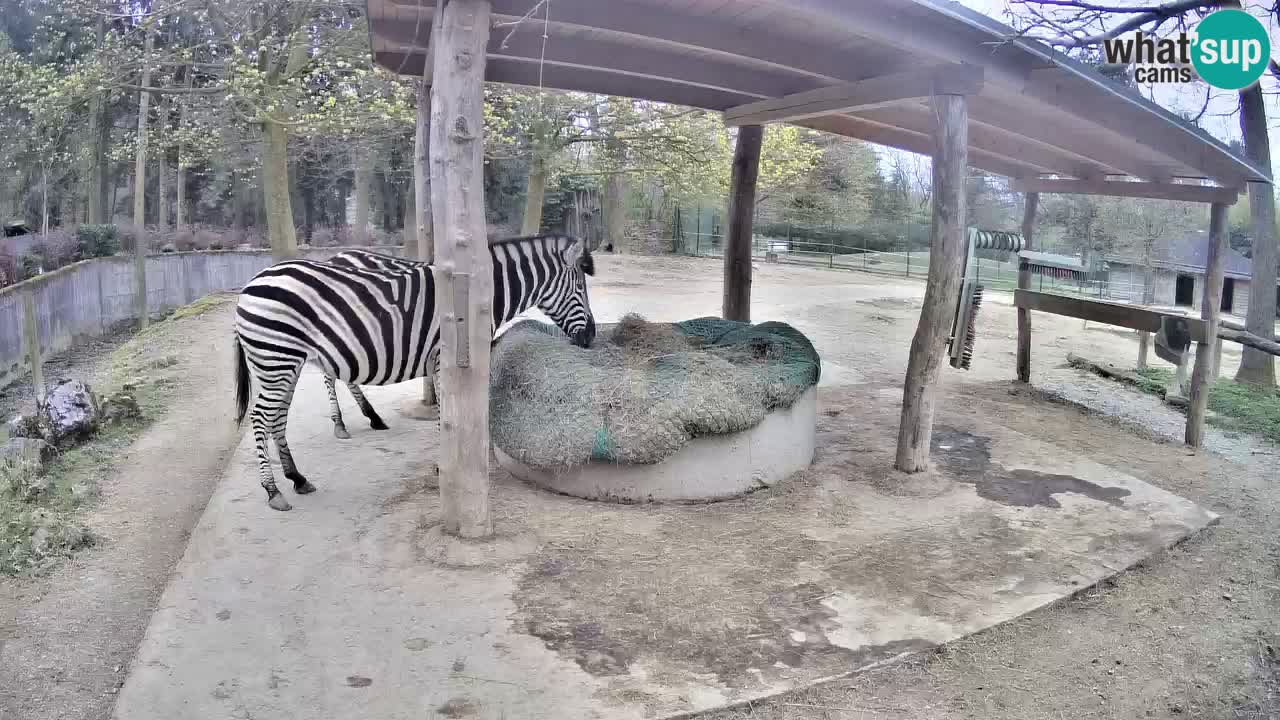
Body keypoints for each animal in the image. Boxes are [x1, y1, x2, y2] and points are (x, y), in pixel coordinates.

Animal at [233, 234, 597, 511]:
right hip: (276, 357)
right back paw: (273, 490)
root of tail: (254, 281)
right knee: (261, 418)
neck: (476, 298)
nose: (591, 337)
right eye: (580, 289)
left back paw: (298, 477)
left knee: (278, 417)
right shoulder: (444, 359)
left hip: (285, 361)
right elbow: (447, 416)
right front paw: (444, 466)